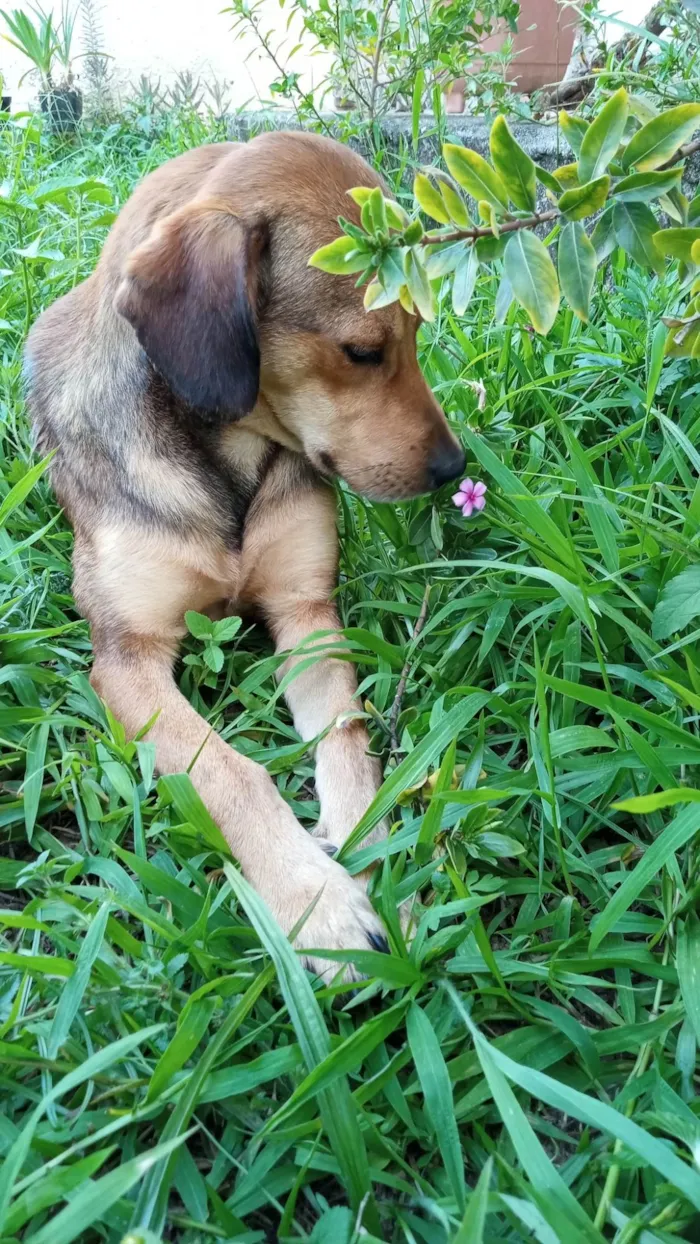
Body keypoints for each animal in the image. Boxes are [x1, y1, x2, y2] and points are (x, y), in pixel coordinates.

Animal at [25, 128, 465, 980]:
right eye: (362, 350)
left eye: (419, 334)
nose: (453, 469)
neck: (226, 456)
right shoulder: (125, 657)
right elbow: (231, 772)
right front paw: (318, 902)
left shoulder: (305, 609)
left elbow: (348, 740)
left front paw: (369, 862)